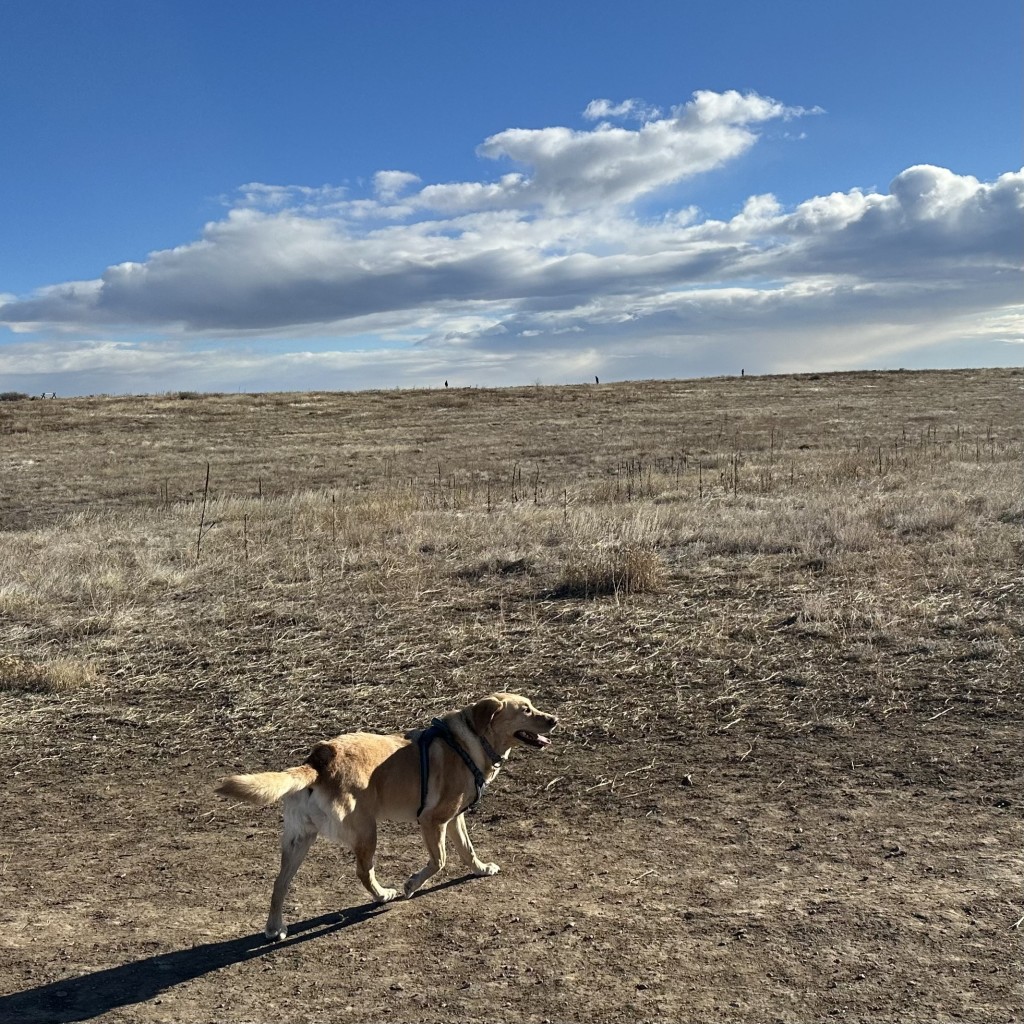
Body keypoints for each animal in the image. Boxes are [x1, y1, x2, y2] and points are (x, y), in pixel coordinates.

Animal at [211, 692, 557, 937]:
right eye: (526, 710)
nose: (554, 719)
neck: (470, 740)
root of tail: (319, 761)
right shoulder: (432, 821)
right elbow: (440, 861)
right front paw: (411, 885)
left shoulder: (455, 819)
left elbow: (467, 850)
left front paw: (482, 869)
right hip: (367, 831)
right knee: (364, 873)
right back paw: (383, 895)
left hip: (299, 840)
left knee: (280, 883)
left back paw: (274, 928)